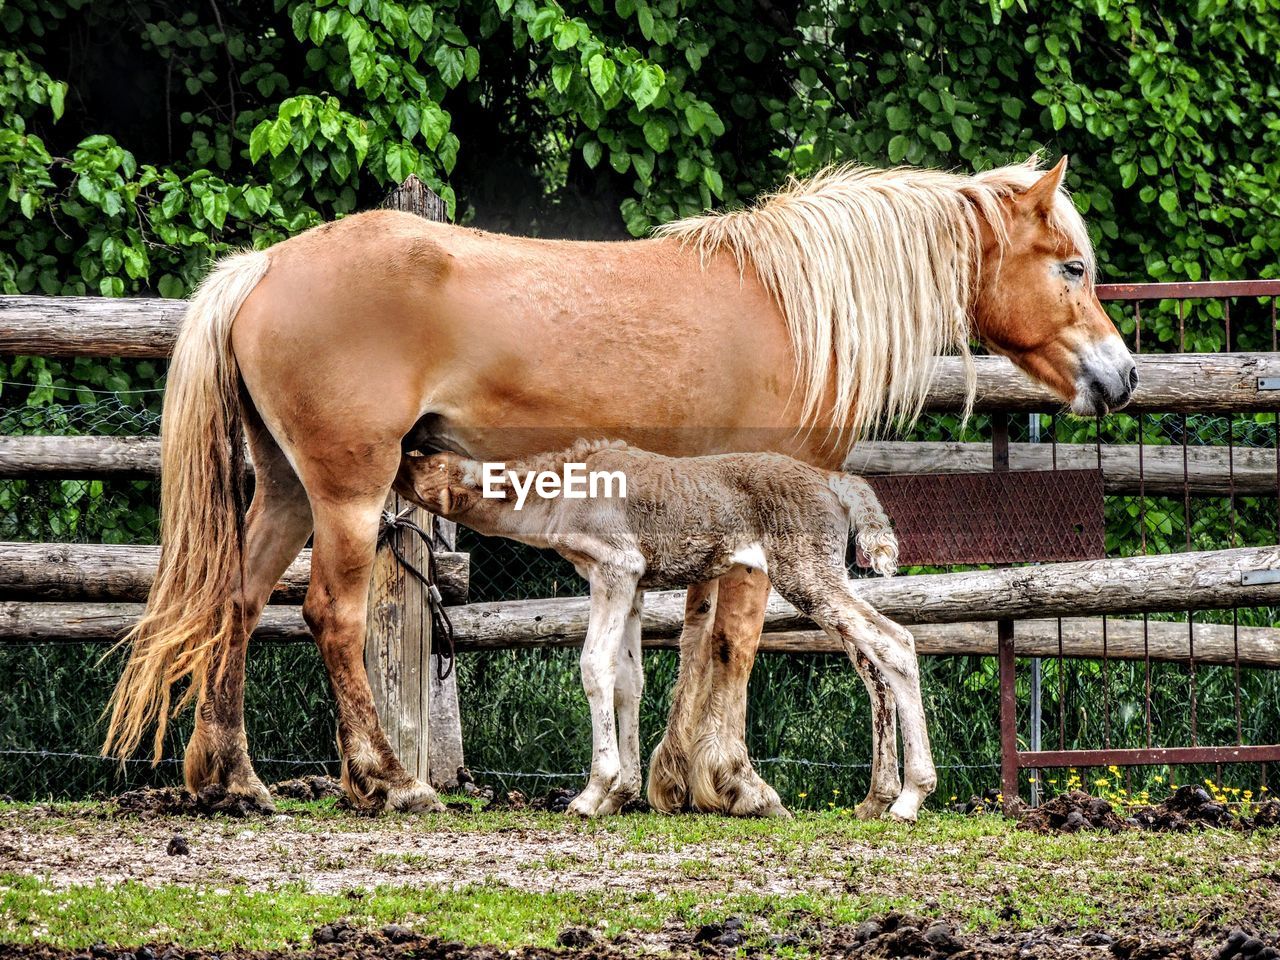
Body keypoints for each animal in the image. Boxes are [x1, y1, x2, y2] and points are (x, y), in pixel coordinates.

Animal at [399, 440, 931, 824]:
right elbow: (628, 680)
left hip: (806, 574)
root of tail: (835, 482)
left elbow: (593, 666)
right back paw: (875, 800)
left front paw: (591, 794)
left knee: (895, 643)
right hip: (823, 575)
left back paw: (909, 799)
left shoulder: (615, 567)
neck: (561, 500)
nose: (397, 459)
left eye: (431, 463)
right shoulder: (633, 584)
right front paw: (621, 795)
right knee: (872, 664)